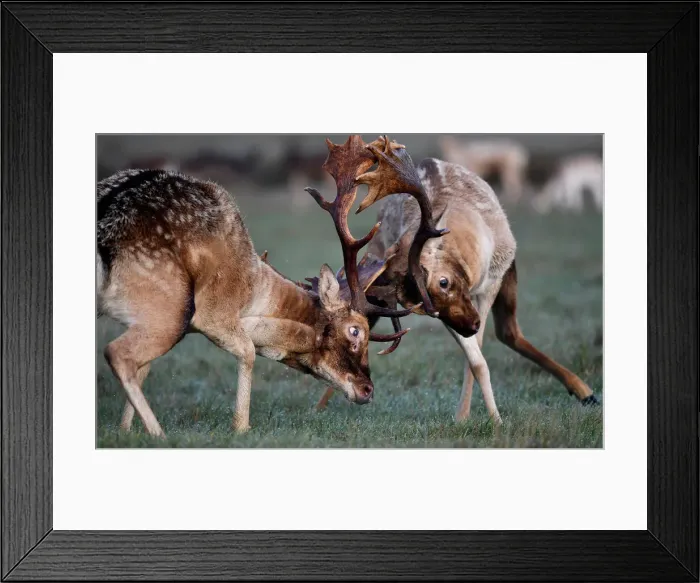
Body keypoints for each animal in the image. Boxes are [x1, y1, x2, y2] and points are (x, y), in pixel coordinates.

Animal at [96, 138, 425, 437]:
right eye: (355, 331)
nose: (368, 390)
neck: (252, 290)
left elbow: (146, 369)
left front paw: (125, 429)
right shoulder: (212, 314)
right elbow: (249, 351)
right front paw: (241, 427)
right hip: (172, 305)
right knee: (116, 352)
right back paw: (160, 435)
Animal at [315, 136, 600, 424]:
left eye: (443, 281)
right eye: (418, 307)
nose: (471, 325)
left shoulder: (492, 282)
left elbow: (479, 354)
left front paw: (489, 419)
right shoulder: (448, 314)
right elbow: (476, 360)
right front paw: (475, 418)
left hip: (509, 275)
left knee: (509, 331)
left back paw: (585, 391)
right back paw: (320, 405)